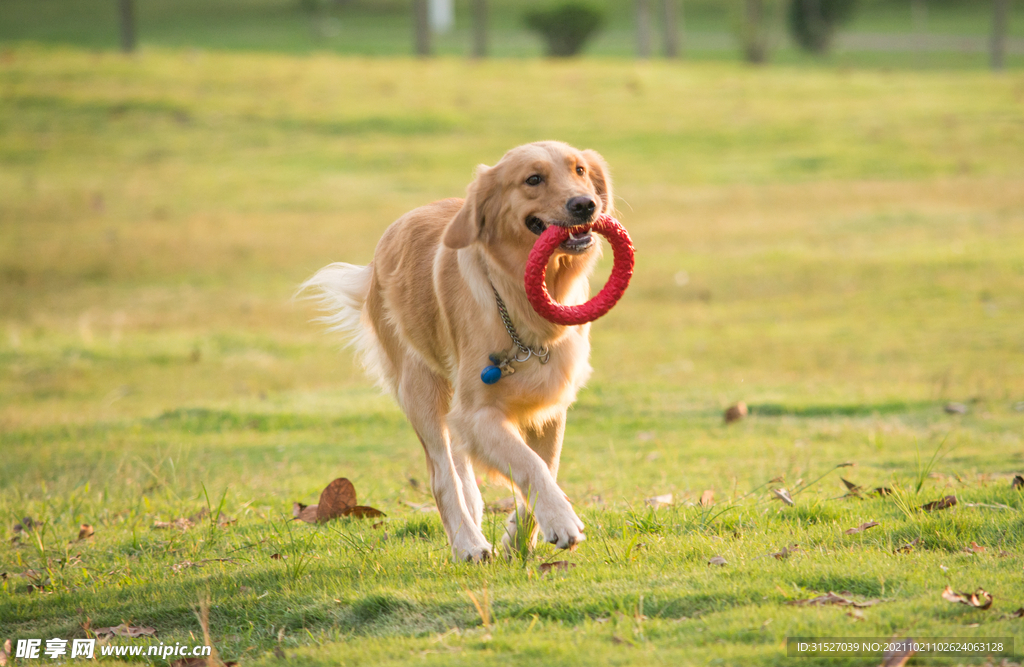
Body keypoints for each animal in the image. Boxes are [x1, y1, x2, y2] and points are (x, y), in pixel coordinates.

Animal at [299, 142, 610, 565]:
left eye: (579, 170)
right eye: (533, 179)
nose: (585, 204)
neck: (520, 301)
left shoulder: (548, 406)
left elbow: (547, 464)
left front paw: (519, 536)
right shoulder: (476, 413)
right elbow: (529, 464)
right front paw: (561, 520)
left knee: (463, 472)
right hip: (420, 390)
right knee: (442, 476)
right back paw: (467, 542)